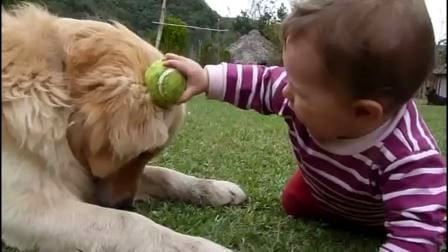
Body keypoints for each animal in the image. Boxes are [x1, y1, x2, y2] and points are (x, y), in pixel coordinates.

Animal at [1, 3, 247, 252]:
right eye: (139, 153)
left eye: (147, 155)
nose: (125, 203)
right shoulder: (26, 208)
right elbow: (129, 223)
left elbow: (163, 174)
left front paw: (213, 188)